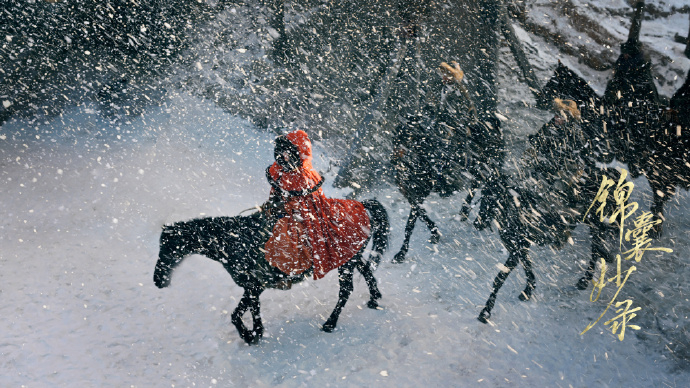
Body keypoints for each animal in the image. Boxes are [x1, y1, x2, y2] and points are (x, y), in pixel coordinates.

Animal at [153, 199, 388, 344]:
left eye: (167, 247)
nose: (157, 280)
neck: (235, 241)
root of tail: (362, 205)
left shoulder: (253, 286)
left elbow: (238, 314)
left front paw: (250, 336)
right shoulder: (253, 288)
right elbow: (248, 312)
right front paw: (254, 334)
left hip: (346, 265)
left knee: (346, 290)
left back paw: (330, 324)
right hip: (351, 258)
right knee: (367, 270)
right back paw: (374, 299)